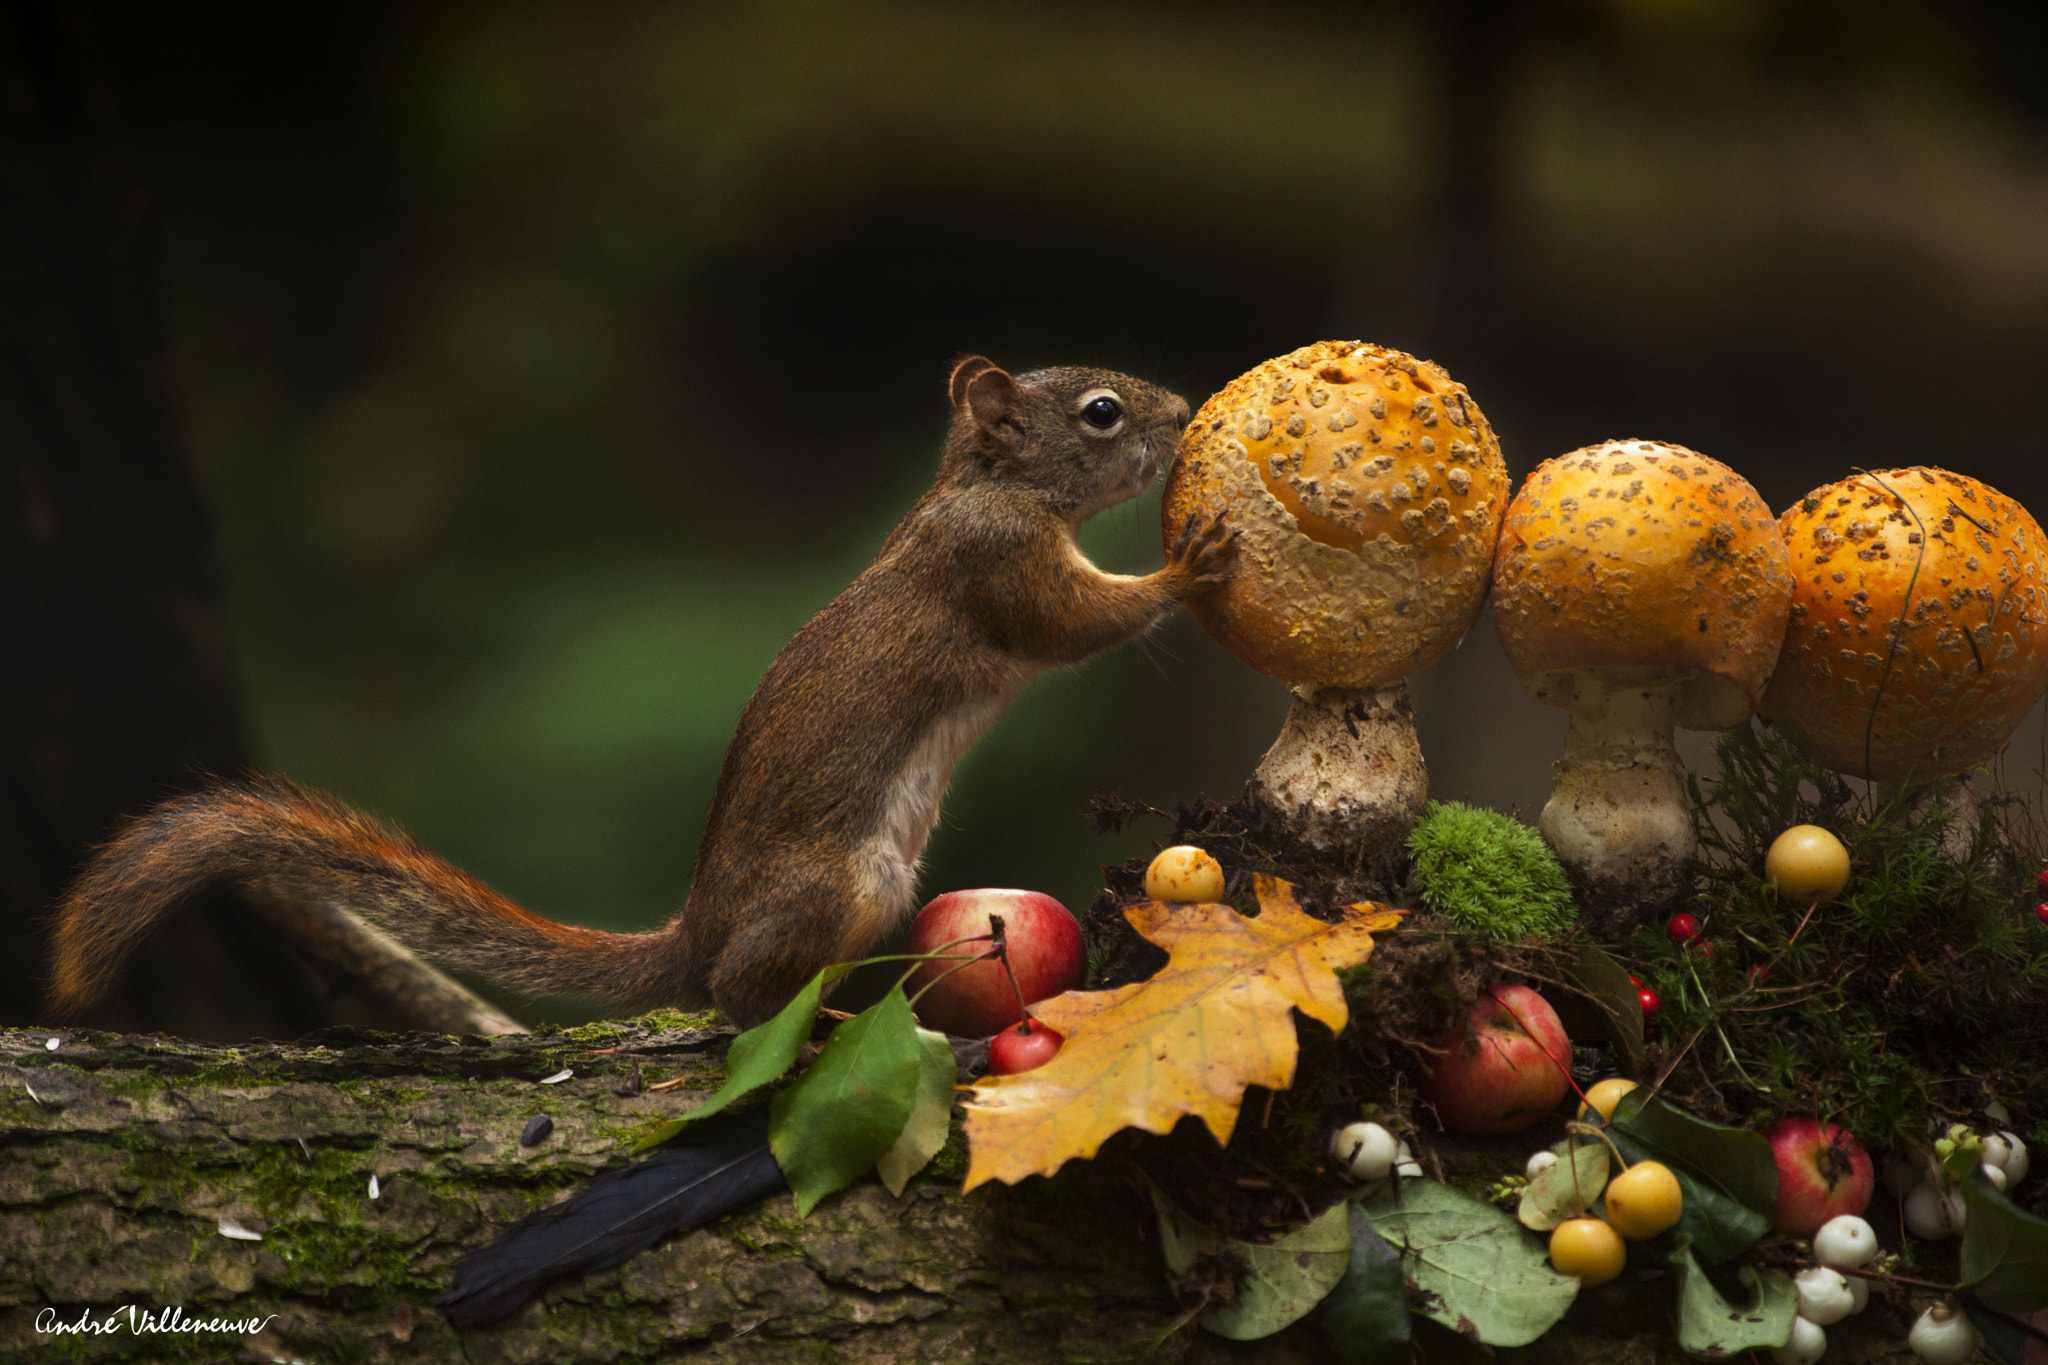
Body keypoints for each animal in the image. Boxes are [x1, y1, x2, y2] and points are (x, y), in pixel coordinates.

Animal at [48, 357, 1236, 1028]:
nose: (1183, 411)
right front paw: (1189, 567)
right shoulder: (995, 566)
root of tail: (695, 930)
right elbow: (1073, 624)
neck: (986, 486)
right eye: (1100, 412)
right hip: (843, 884)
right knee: (732, 997)